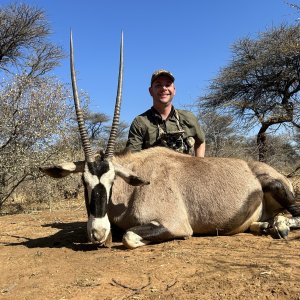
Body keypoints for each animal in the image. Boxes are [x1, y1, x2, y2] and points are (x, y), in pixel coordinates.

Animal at [40, 32, 300, 248]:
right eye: (84, 181)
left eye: (112, 180)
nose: (98, 233)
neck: (132, 189)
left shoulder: (175, 225)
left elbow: (128, 237)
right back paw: (267, 225)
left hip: (279, 188)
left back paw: (280, 227)